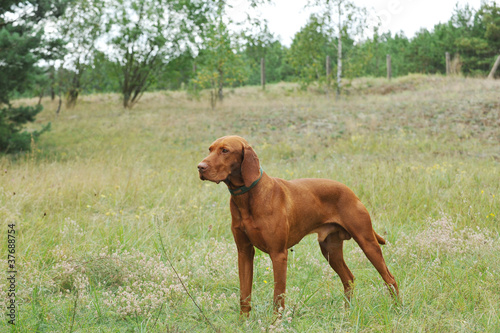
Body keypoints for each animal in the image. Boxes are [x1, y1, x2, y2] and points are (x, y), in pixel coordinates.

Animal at [198, 135, 398, 314]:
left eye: (225, 150)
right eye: (209, 149)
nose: (200, 167)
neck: (247, 197)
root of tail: (351, 191)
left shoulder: (278, 254)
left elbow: (278, 297)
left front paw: (275, 324)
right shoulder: (244, 252)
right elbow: (244, 295)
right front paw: (243, 324)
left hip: (367, 242)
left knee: (390, 278)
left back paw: (397, 308)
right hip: (330, 250)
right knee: (348, 279)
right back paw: (347, 313)